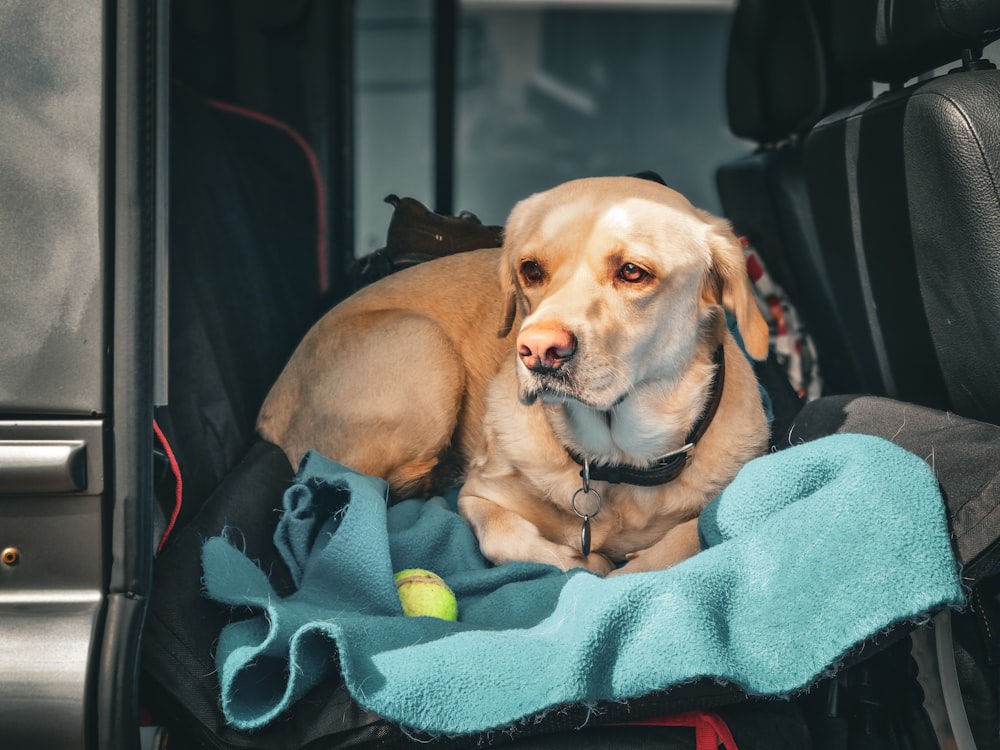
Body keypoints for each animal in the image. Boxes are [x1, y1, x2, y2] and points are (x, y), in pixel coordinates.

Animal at [256, 176, 764, 576]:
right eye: (531, 269)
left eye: (633, 272)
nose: (538, 351)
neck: (615, 460)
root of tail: (270, 404)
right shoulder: (480, 497)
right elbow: (512, 540)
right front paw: (583, 561)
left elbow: (681, 542)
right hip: (426, 350)